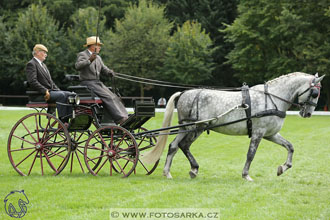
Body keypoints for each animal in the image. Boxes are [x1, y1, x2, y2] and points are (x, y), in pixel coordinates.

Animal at [142, 72, 324, 180]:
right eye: (315, 93)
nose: (308, 114)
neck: (272, 98)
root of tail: (185, 93)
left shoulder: (270, 134)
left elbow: (290, 147)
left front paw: (283, 168)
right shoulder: (258, 133)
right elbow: (251, 154)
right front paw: (246, 175)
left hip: (189, 128)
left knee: (176, 145)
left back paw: (174, 171)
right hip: (194, 128)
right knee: (181, 145)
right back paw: (187, 170)